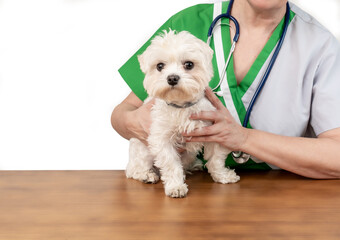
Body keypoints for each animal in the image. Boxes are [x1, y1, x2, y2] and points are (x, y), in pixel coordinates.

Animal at [125, 30, 239, 198]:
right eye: (160, 66)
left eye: (189, 64)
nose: (172, 78)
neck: (181, 106)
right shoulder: (161, 139)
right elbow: (171, 164)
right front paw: (176, 187)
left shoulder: (214, 130)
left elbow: (216, 159)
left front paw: (222, 176)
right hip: (142, 149)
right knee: (133, 170)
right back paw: (147, 174)